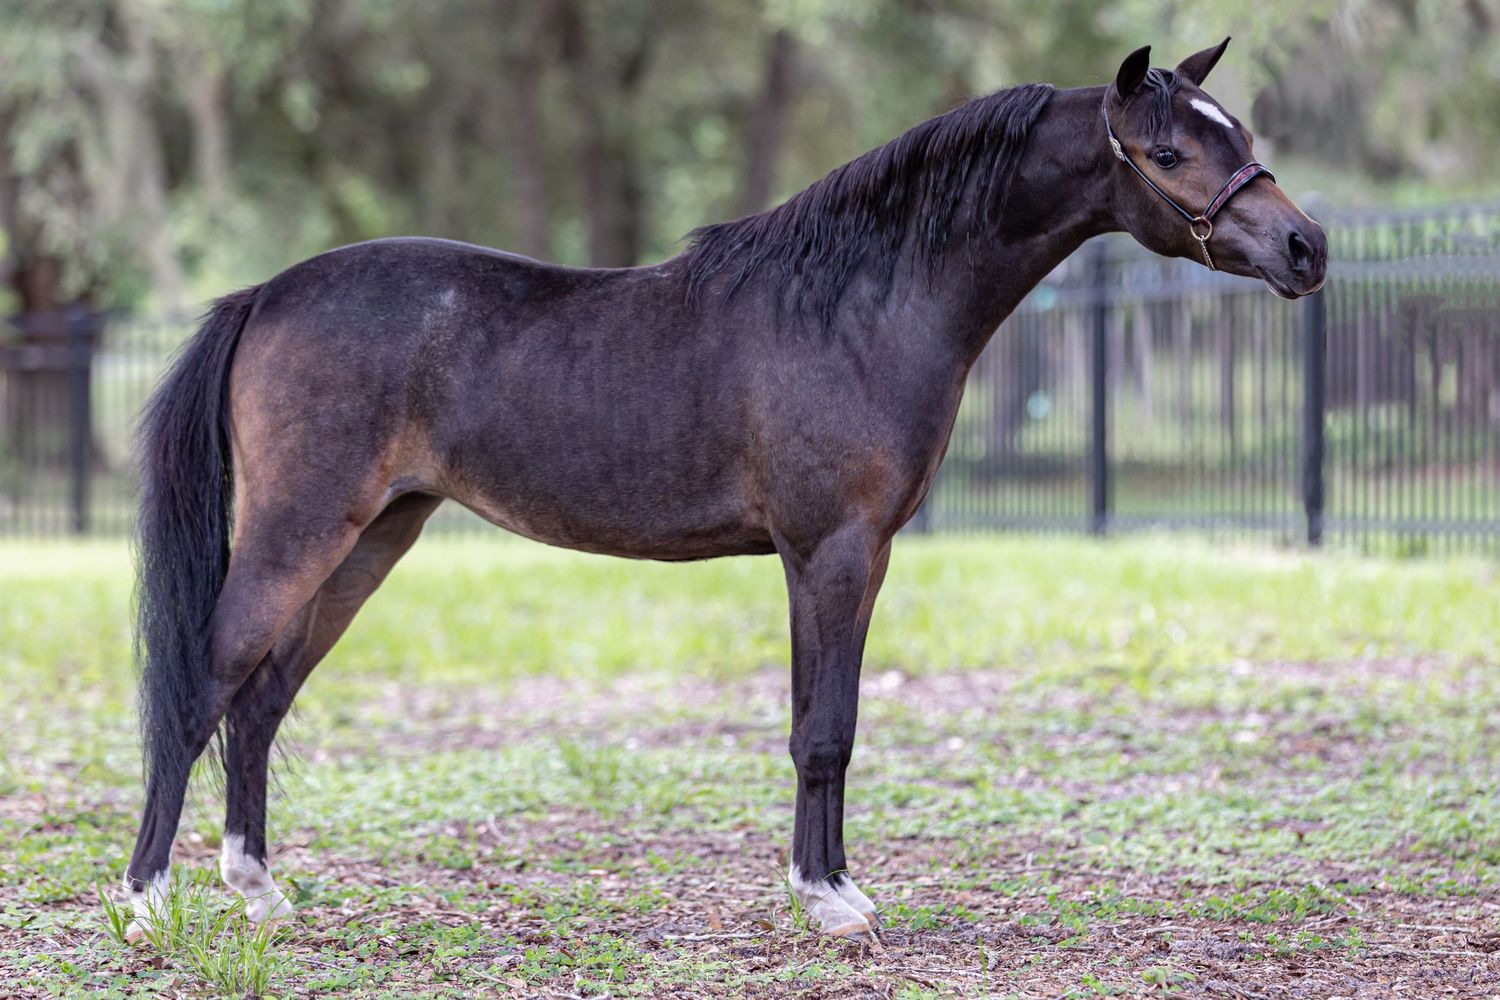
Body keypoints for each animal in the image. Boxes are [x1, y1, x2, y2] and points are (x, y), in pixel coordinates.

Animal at [122, 40, 1326, 944]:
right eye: (1169, 149)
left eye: (1241, 134)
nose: (1306, 247)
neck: (856, 305)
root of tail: (266, 293)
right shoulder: (831, 550)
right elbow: (823, 731)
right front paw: (832, 902)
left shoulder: (852, 557)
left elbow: (825, 721)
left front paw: (827, 884)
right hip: (299, 529)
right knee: (202, 690)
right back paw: (144, 902)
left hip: (374, 534)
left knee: (261, 700)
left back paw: (259, 890)